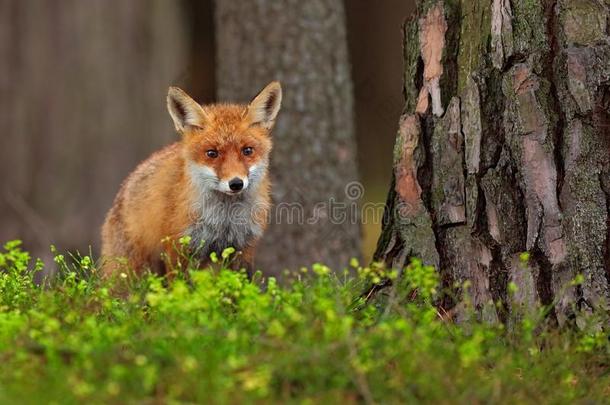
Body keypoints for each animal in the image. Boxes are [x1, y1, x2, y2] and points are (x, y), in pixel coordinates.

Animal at [101, 80, 282, 276]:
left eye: (247, 151)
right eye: (212, 153)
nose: (236, 183)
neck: (223, 220)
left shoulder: (244, 248)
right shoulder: (178, 246)